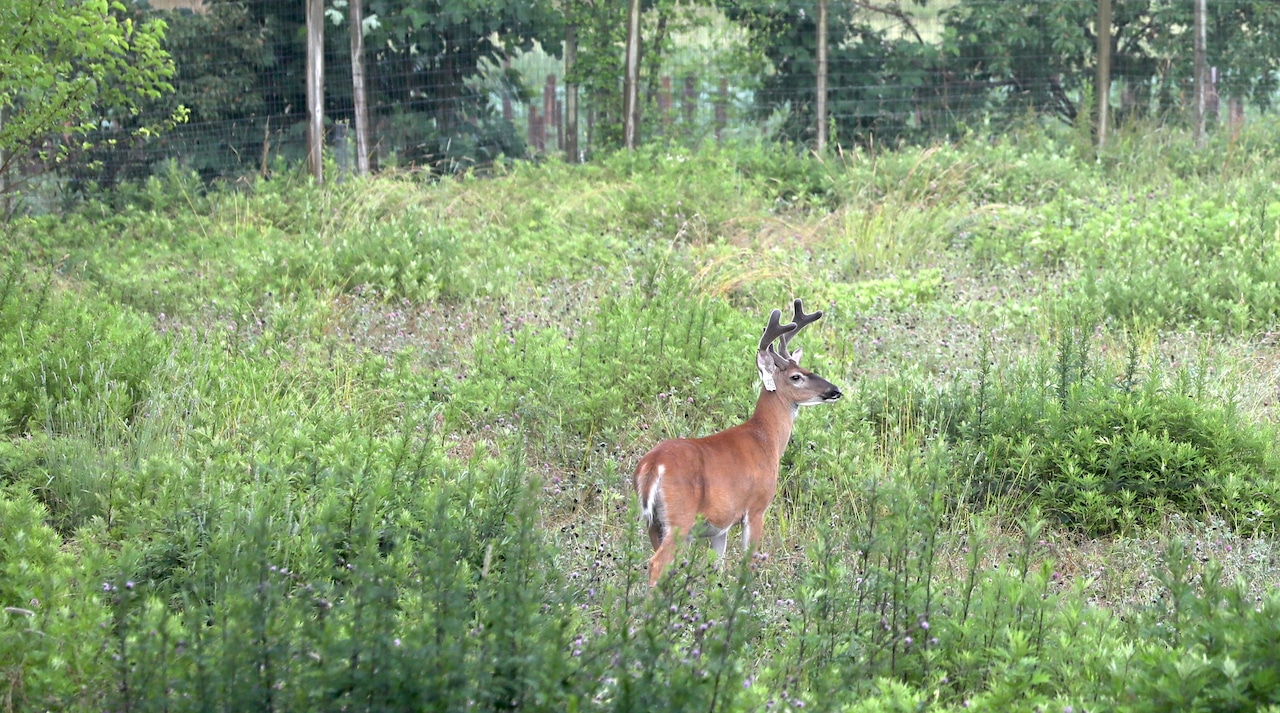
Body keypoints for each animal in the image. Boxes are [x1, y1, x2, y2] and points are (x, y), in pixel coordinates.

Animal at [633, 299, 842, 587]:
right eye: (796, 377)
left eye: (809, 369)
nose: (835, 390)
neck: (766, 438)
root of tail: (653, 464)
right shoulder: (755, 507)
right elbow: (747, 564)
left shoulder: (720, 525)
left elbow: (716, 568)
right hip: (679, 519)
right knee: (656, 564)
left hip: (652, 523)